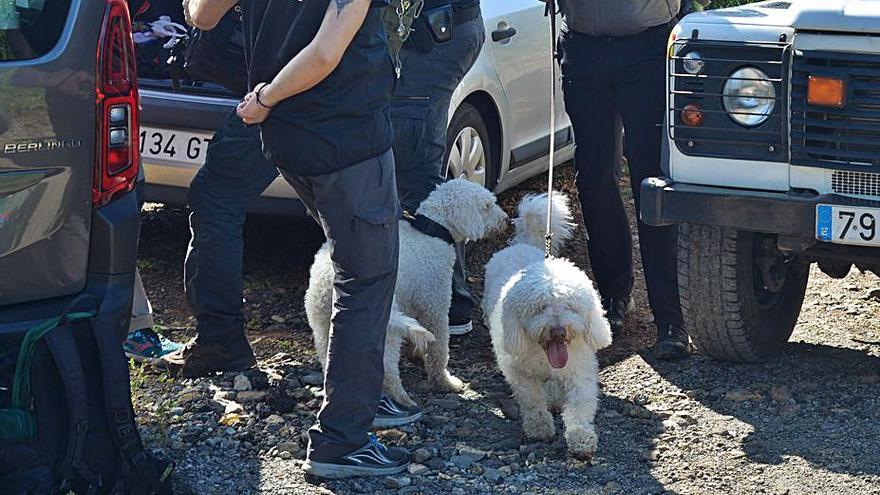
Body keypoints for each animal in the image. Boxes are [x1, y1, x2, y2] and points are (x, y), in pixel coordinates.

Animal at [306, 178, 506, 406]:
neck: (430, 230)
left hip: (322, 324)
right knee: (387, 370)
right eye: (487, 206)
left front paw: (416, 353)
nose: (506, 220)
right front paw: (444, 382)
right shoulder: (435, 305)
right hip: (383, 328)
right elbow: (439, 348)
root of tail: (327, 283)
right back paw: (401, 399)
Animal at [482, 193, 612, 462]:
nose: (558, 331)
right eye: (540, 307)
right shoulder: (520, 372)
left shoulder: (579, 370)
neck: (546, 357)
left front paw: (581, 439)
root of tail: (523, 245)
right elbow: (531, 400)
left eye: (570, 305)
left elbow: (580, 406)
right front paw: (539, 427)